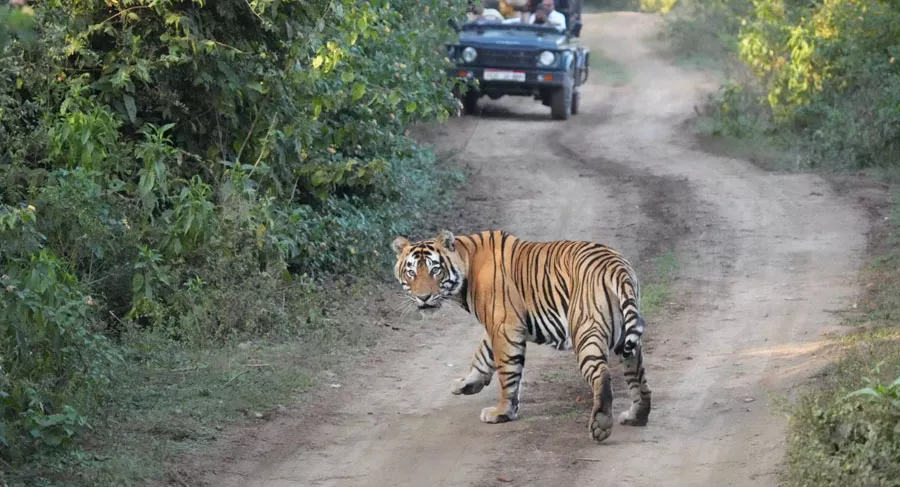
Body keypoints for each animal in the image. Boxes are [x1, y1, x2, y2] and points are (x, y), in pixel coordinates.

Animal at [391, 229, 652, 443]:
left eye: (435, 270)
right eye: (411, 272)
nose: (423, 297)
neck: (467, 262)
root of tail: (617, 266)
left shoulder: (504, 327)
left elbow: (507, 372)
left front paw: (501, 412)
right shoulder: (501, 326)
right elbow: (482, 355)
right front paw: (467, 383)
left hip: (585, 330)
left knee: (602, 374)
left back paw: (601, 424)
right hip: (626, 341)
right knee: (638, 378)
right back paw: (636, 416)